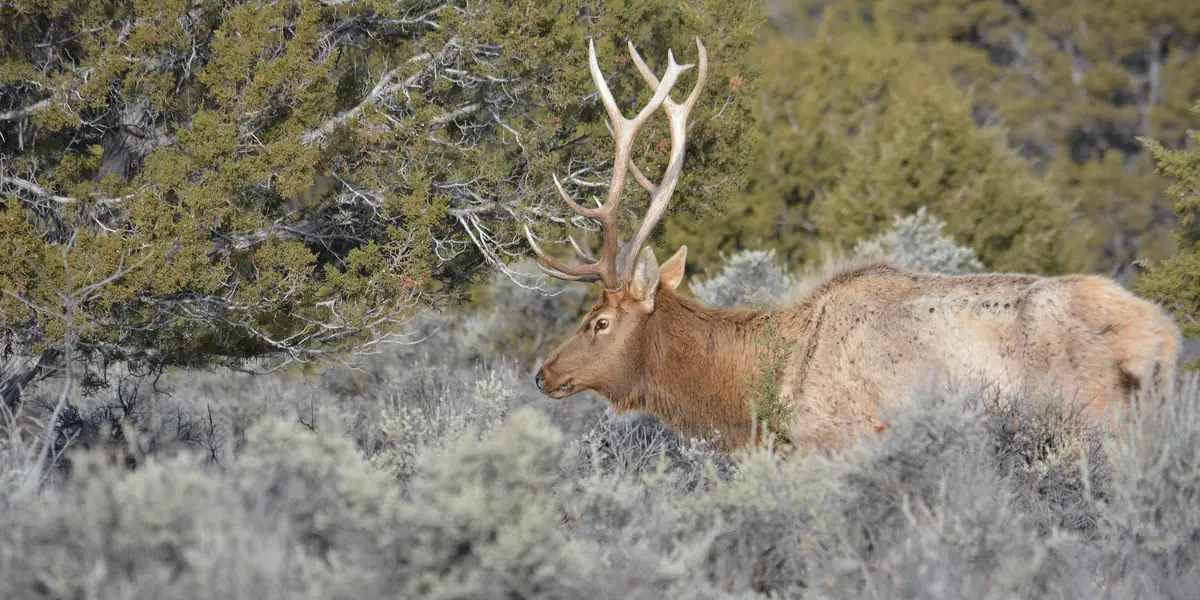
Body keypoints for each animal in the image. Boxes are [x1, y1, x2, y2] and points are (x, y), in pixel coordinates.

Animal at [525, 37, 1184, 454]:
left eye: (599, 322)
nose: (543, 373)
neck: (759, 392)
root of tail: (1160, 340)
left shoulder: (835, 439)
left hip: (1086, 421)